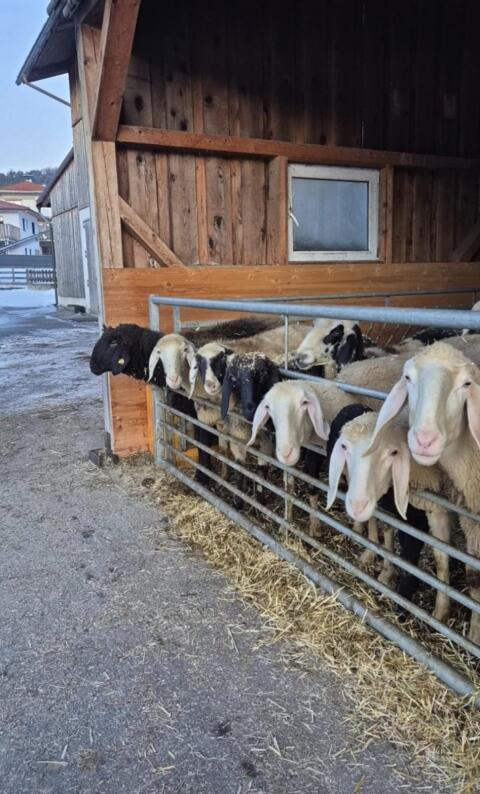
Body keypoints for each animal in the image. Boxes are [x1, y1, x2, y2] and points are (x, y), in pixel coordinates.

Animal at [326, 405, 451, 620]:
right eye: (344, 447)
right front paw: (385, 573)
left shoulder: (433, 511)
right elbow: (387, 535)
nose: (357, 505)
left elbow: (437, 555)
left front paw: (436, 610)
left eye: (393, 452)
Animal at [369, 341, 480, 642]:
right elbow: (443, 560)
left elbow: (475, 580)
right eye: (408, 378)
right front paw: (440, 615)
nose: (424, 440)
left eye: (467, 384)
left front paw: (474, 637)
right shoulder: (444, 508)